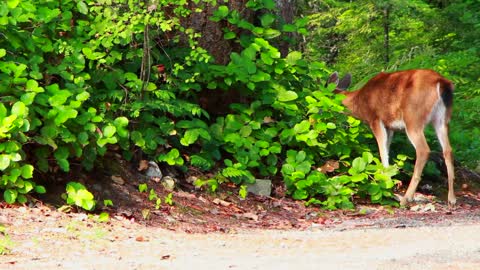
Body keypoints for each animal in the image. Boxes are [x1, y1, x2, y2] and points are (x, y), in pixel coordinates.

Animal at [328, 69, 456, 207]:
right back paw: (452, 199)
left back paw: (406, 198)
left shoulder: (375, 120)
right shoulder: (390, 127)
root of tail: (441, 82)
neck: (359, 102)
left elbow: (383, 153)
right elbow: (387, 150)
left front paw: (385, 185)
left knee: (423, 150)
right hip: (442, 120)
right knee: (448, 150)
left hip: (413, 118)